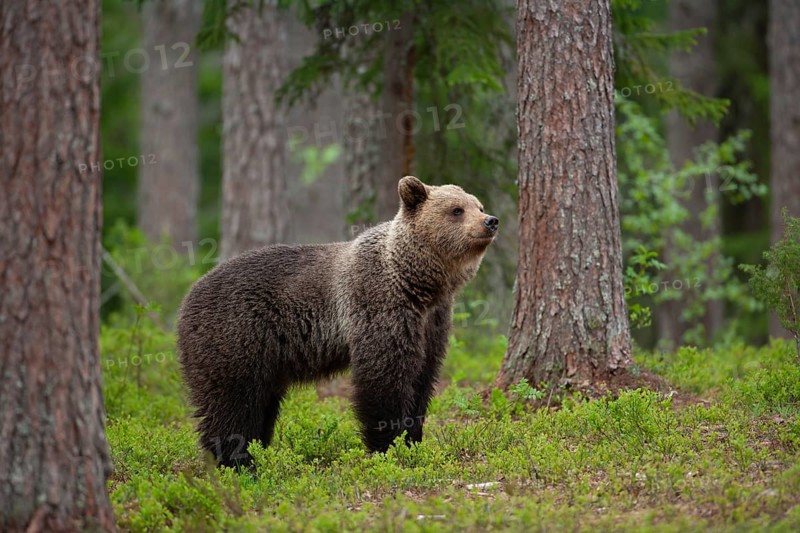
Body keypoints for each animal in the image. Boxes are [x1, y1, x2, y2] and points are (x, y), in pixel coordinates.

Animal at [177, 176, 498, 467]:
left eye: (478, 205)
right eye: (456, 210)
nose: (491, 221)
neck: (417, 284)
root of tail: (187, 298)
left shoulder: (432, 322)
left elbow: (423, 378)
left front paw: (413, 440)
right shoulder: (378, 307)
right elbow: (383, 378)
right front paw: (388, 446)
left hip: (266, 358)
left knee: (261, 402)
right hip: (235, 335)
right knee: (231, 402)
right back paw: (236, 461)